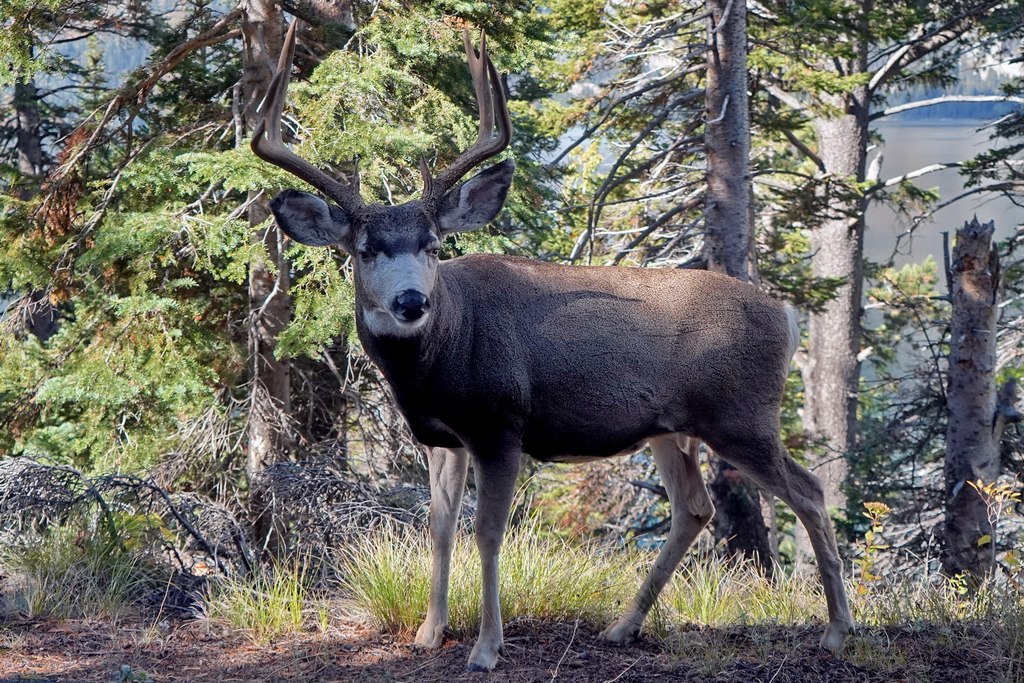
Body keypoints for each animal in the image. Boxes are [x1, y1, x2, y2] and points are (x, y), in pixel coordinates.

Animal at [251, 21, 851, 671]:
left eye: (434, 245)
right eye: (365, 251)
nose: (412, 302)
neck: (442, 358)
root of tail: (786, 316)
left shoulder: (501, 424)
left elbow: (488, 532)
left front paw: (486, 648)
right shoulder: (440, 437)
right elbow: (438, 526)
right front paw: (429, 633)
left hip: (741, 414)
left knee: (810, 492)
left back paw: (838, 630)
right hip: (672, 429)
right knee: (696, 507)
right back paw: (621, 628)